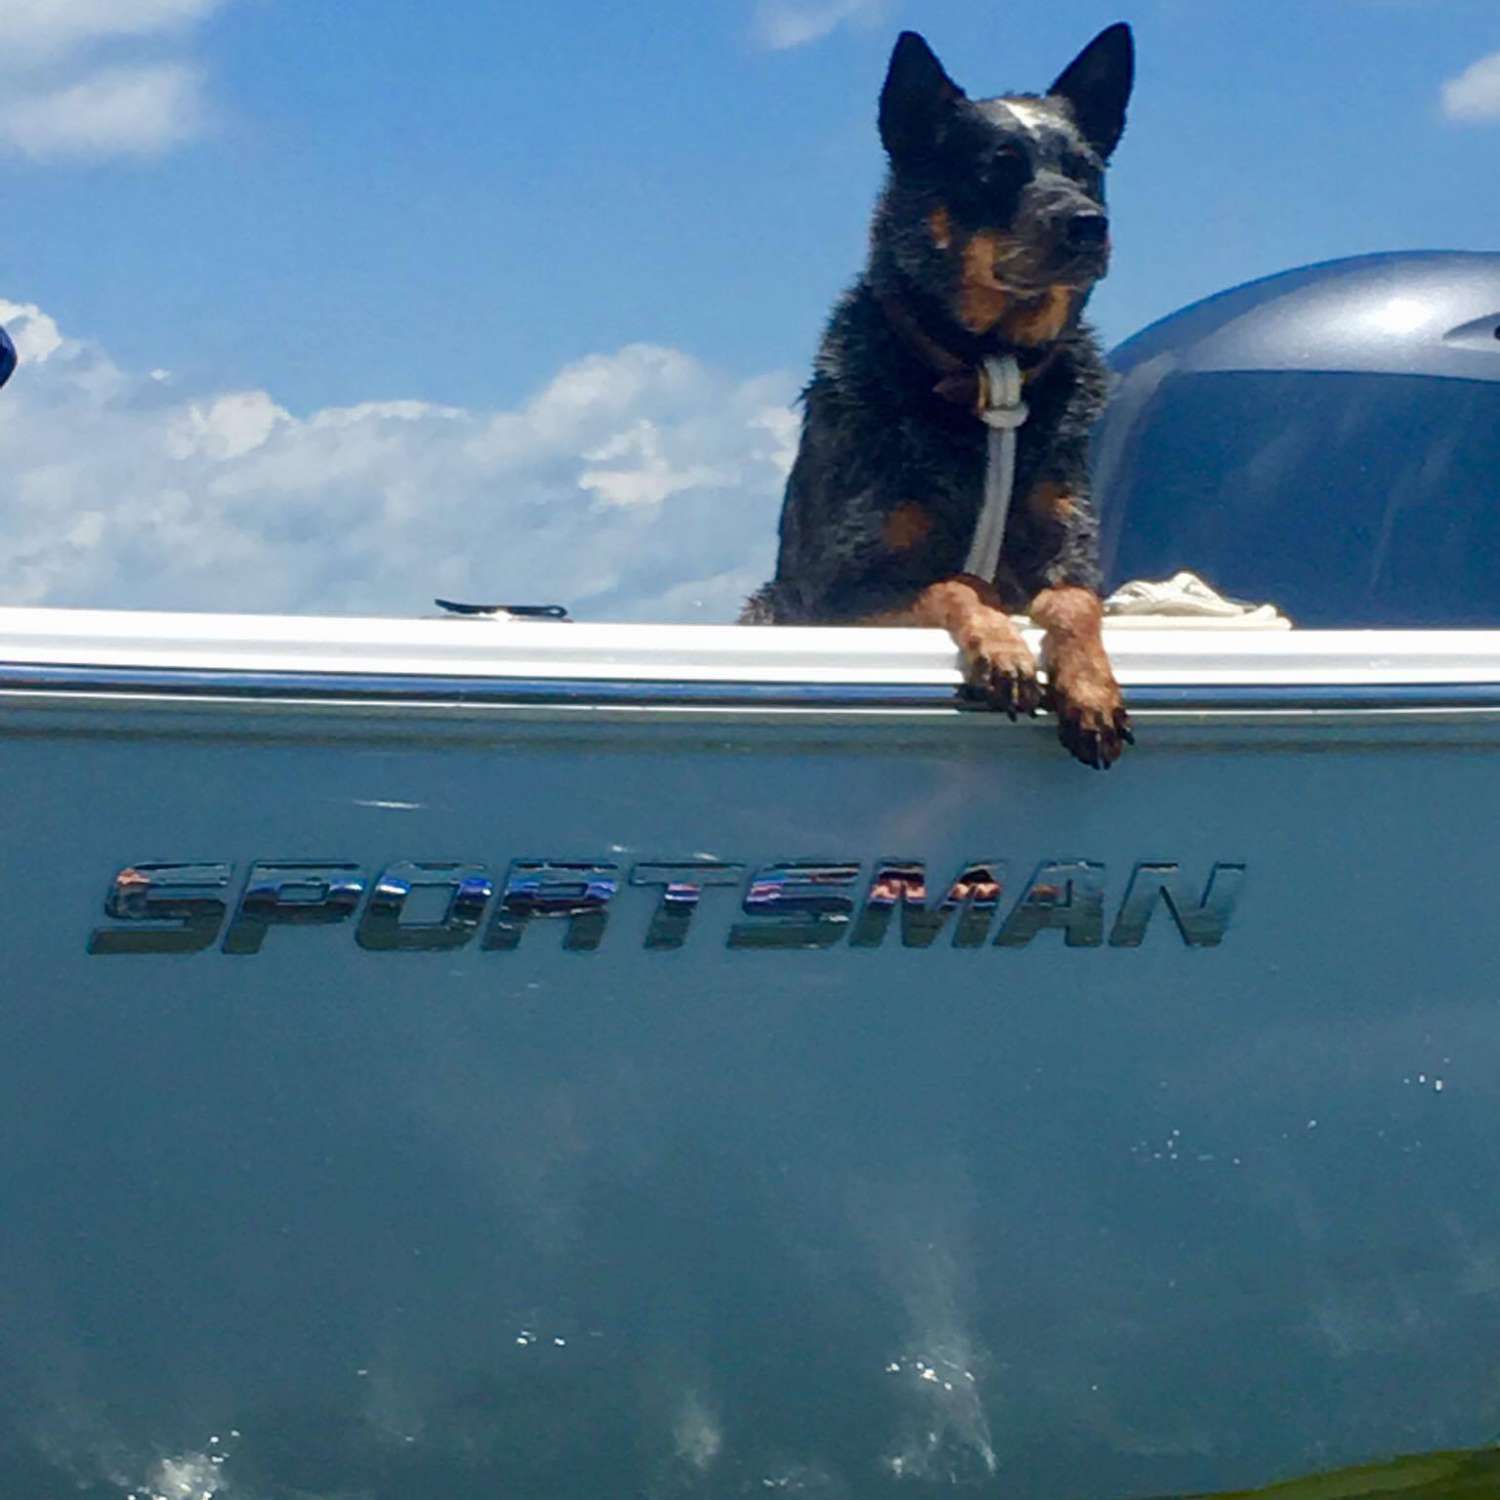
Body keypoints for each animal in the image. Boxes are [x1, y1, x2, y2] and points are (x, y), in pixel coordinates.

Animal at [744, 24, 1128, 774]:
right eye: (997, 168)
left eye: (1086, 169)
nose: (1088, 223)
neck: (989, 371)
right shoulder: (839, 592)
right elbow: (958, 583)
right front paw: (1002, 647)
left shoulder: (1071, 546)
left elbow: (1074, 601)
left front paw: (1091, 688)